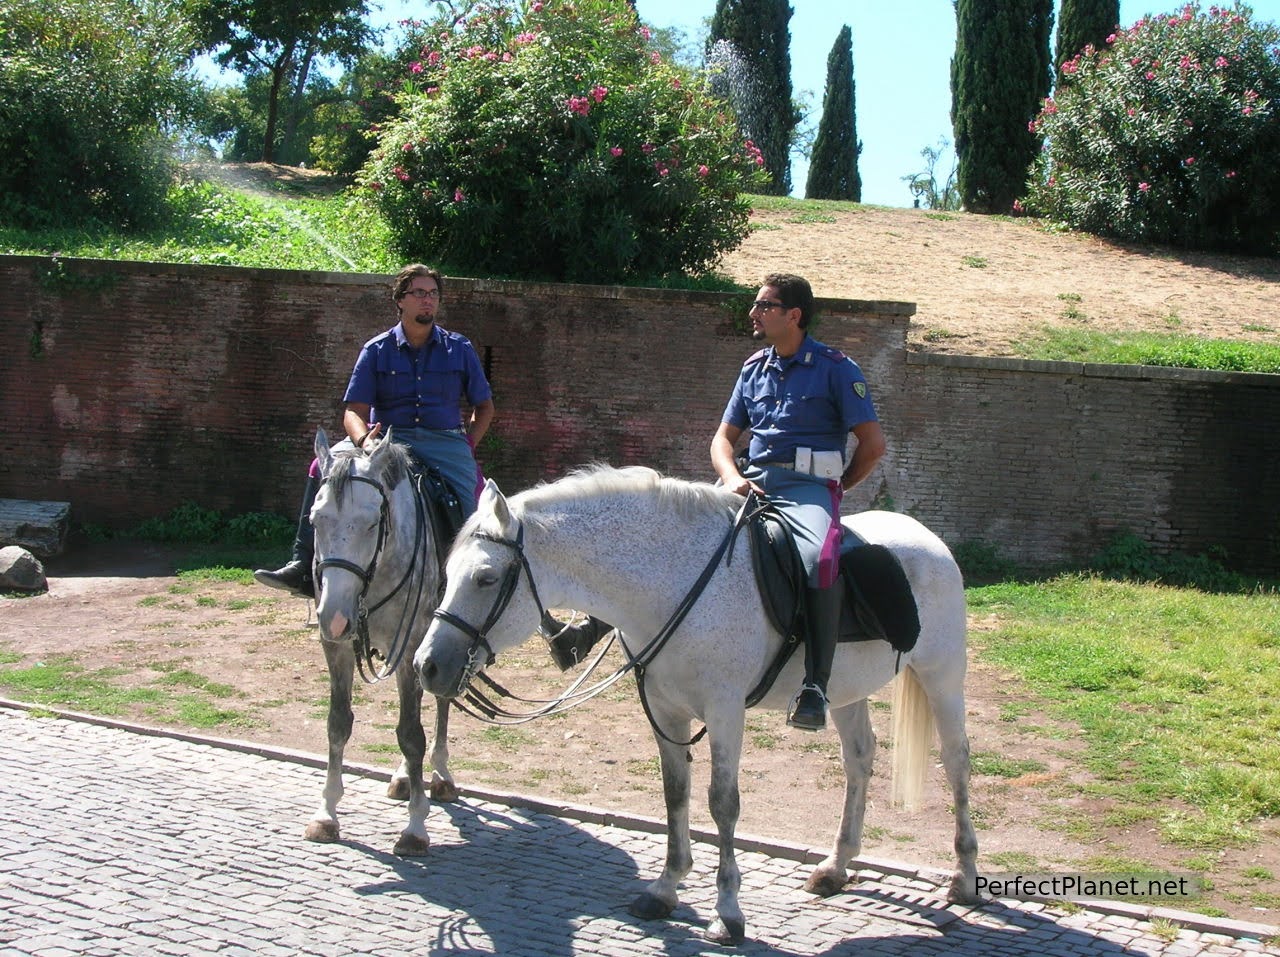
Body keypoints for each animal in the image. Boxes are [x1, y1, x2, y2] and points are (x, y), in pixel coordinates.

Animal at [303, 429, 455, 854]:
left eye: (372, 523)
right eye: (315, 520)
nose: (334, 616)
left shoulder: (412, 646)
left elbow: (411, 735)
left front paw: (416, 828)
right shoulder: (335, 647)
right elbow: (338, 723)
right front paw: (326, 813)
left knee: (439, 703)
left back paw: (440, 775)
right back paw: (404, 778)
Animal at [414, 468, 972, 946]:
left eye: (486, 578)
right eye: (448, 571)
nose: (426, 665)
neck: (671, 583)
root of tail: (926, 539)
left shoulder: (725, 711)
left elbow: (722, 803)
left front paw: (728, 913)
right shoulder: (665, 711)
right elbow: (675, 794)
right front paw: (666, 887)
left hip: (943, 677)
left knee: (956, 761)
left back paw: (964, 876)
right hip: (845, 693)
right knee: (859, 759)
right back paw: (836, 866)